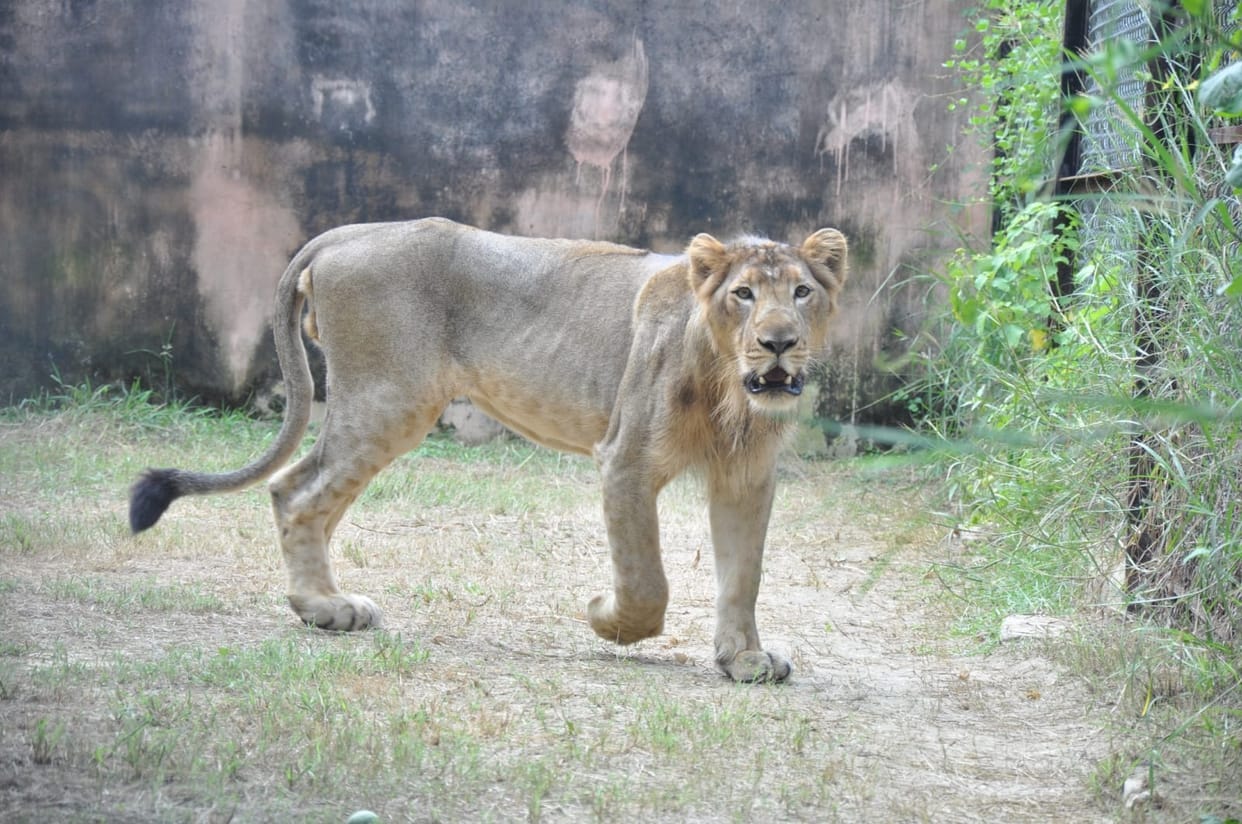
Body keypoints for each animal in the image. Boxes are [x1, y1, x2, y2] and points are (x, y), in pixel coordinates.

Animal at [129, 217, 847, 682]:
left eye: (802, 292)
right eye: (743, 294)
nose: (779, 343)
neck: (731, 390)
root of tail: (349, 231)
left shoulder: (746, 476)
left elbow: (743, 575)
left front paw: (745, 658)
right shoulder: (626, 458)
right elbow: (647, 584)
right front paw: (604, 617)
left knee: (306, 490)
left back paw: (327, 603)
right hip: (389, 402)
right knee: (297, 491)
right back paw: (324, 609)